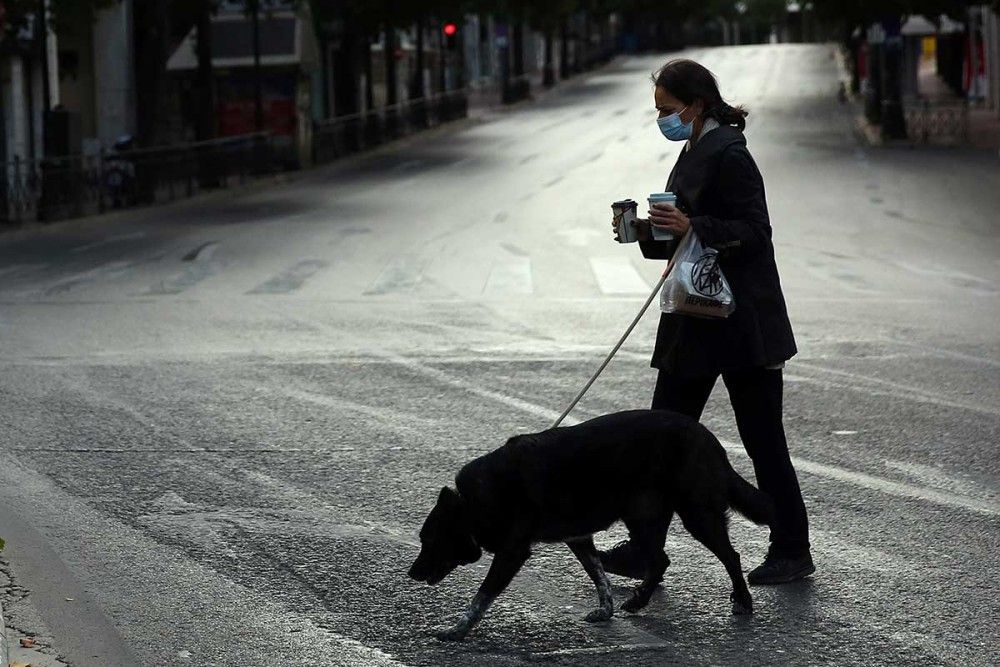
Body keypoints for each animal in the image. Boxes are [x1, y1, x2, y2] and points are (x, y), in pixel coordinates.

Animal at [406, 410, 772, 640]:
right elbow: (599, 576)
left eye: (429, 541)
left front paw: (457, 630)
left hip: (695, 513)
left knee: (730, 556)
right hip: (642, 516)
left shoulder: (513, 551)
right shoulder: (579, 537)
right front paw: (605, 611)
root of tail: (710, 439)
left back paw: (743, 600)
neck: (471, 503)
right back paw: (639, 601)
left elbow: (481, 596)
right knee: (660, 561)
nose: (411, 574)